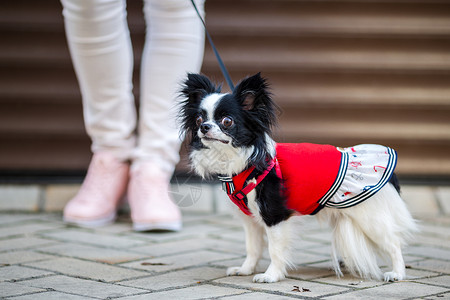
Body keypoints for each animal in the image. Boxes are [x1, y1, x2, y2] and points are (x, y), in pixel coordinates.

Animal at [178, 73, 416, 284]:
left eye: (227, 121)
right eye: (198, 119)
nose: (204, 127)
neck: (245, 162)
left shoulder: (274, 216)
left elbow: (274, 249)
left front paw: (271, 276)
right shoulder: (251, 221)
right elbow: (252, 248)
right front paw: (245, 269)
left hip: (369, 217)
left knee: (393, 243)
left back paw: (397, 273)